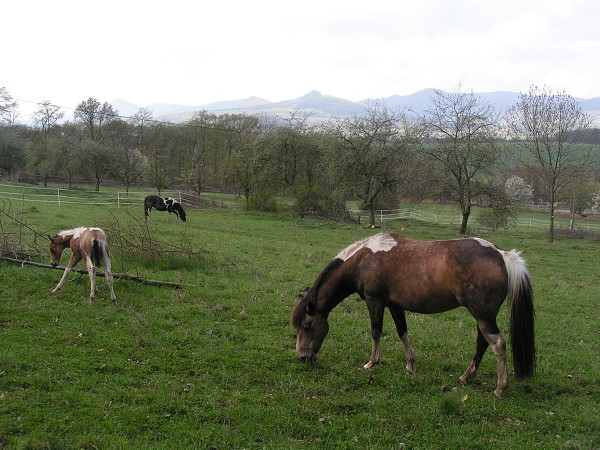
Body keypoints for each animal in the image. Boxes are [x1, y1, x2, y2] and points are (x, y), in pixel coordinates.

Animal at [290, 234, 536, 396]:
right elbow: (402, 332)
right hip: (482, 316)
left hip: (483, 316)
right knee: (483, 344)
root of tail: (503, 255)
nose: (302, 357)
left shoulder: (374, 301)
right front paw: (410, 365)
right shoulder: (394, 305)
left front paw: (372, 362)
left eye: (307, 326)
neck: (363, 259)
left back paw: (500, 388)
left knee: (498, 344)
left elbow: (376, 331)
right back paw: (466, 377)